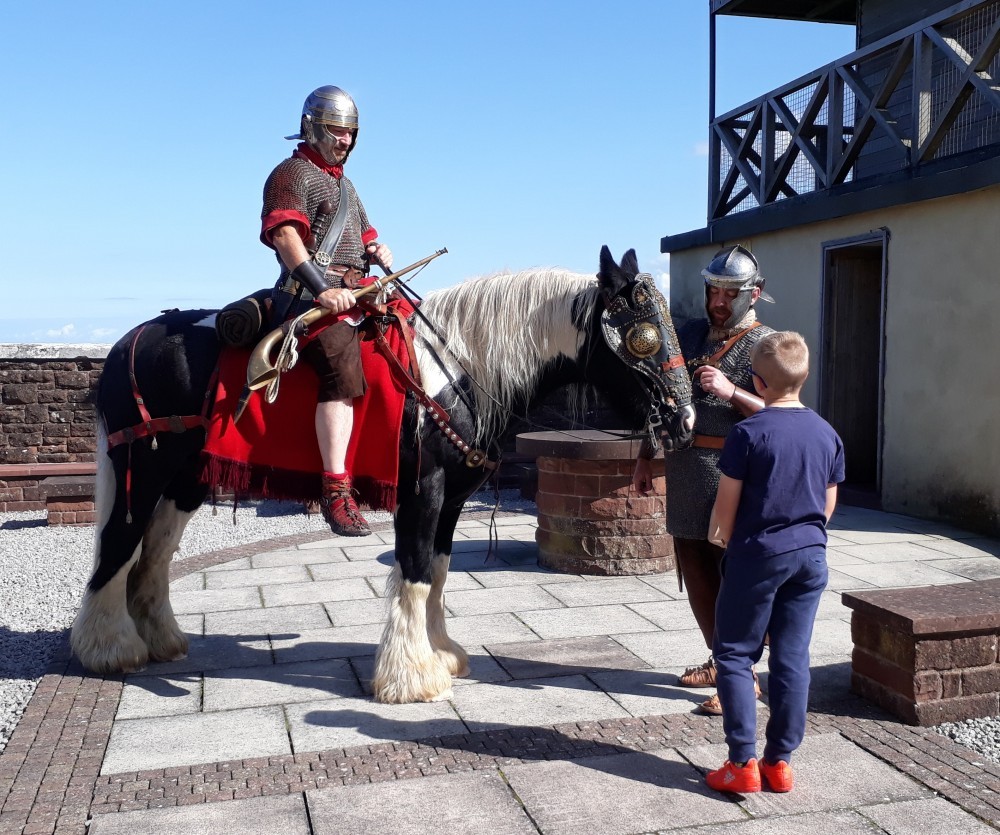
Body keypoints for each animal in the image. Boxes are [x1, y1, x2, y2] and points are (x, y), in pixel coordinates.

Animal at [72, 245, 696, 704]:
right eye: (642, 334)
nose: (685, 418)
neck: (455, 367)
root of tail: (130, 342)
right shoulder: (423, 493)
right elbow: (416, 572)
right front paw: (410, 677)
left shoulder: (451, 500)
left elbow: (438, 571)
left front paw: (440, 653)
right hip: (142, 466)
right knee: (120, 544)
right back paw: (108, 647)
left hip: (186, 479)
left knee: (155, 552)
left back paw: (159, 638)